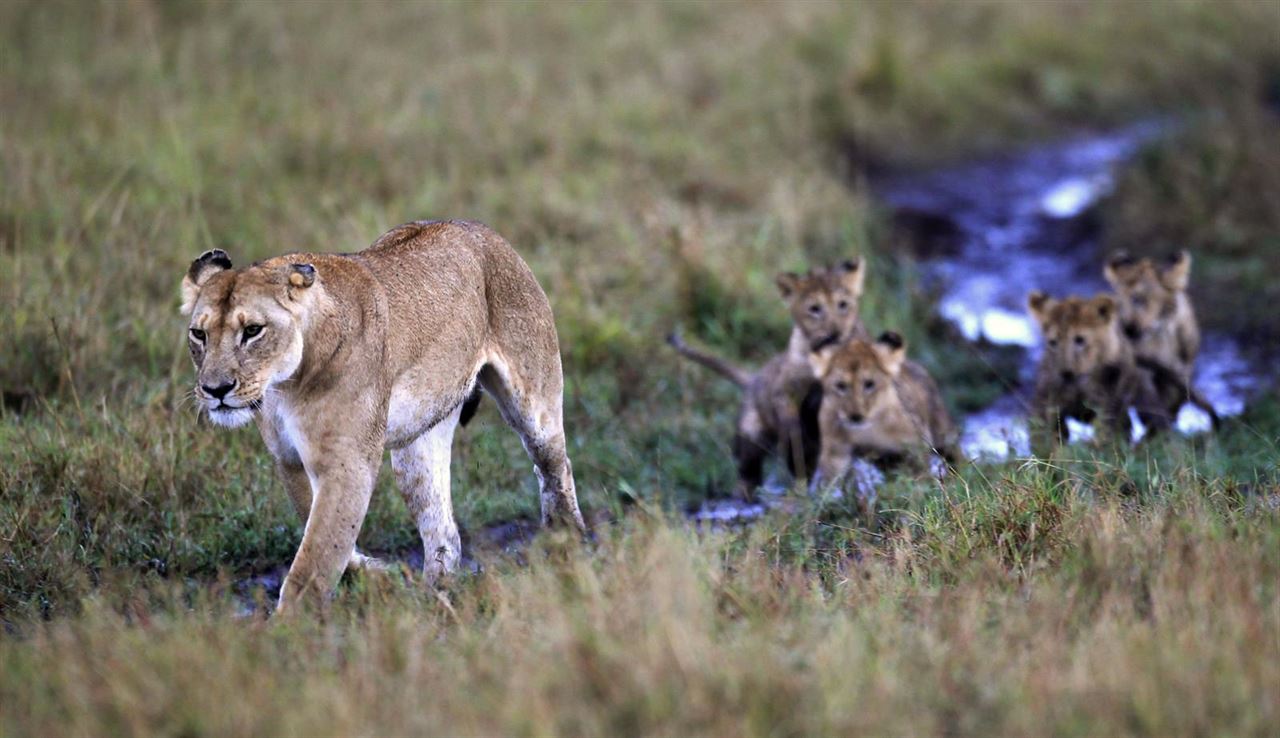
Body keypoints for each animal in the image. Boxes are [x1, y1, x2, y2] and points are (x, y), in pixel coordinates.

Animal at [181, 220, 585, 614]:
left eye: (252, 331)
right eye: (198, 334)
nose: (215, 389)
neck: (284, 385)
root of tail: (481, 229)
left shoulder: (347, 462)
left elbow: (314, 558)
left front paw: (290, 625)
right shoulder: (289, 458)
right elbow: (322, 532)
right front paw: (378, 573)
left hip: (534, 408)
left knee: (555, 468)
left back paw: (567, 546)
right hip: (417, 447)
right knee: (443, 531)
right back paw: (435, 601)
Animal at [667, 259, 867, 499]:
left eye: (843, 304)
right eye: (814, 309)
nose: (835, 333)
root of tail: (753, 379)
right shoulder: (784, 389)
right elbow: (791, 426)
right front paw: (798, 439)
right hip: (751, 433)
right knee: (749, 469)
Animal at [807, 331, 957, 498]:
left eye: (869, 384)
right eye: (840, 386)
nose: (855, 416)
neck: (869, 429)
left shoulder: (915, 446)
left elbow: (919, 475)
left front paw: (920, 494)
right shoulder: (835, 451)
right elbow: (827, 482)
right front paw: (820, 500)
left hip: (942, 432)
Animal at [1027, 291, 1172, 450]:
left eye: (1080, 340)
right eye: (1053, 342)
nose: (1066, 373)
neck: (1079, 385)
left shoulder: (1107, 407)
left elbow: (1106, 438)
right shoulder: (1047, 402)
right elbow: (1044, 435)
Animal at [1103, 250, 1218, 427]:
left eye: (1138, 299)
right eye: (1120, 303)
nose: (1127, 329)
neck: (1160, 335)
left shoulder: (1182, 368)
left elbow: (1177, 397)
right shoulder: (1142, 370)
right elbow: (1151, 404)